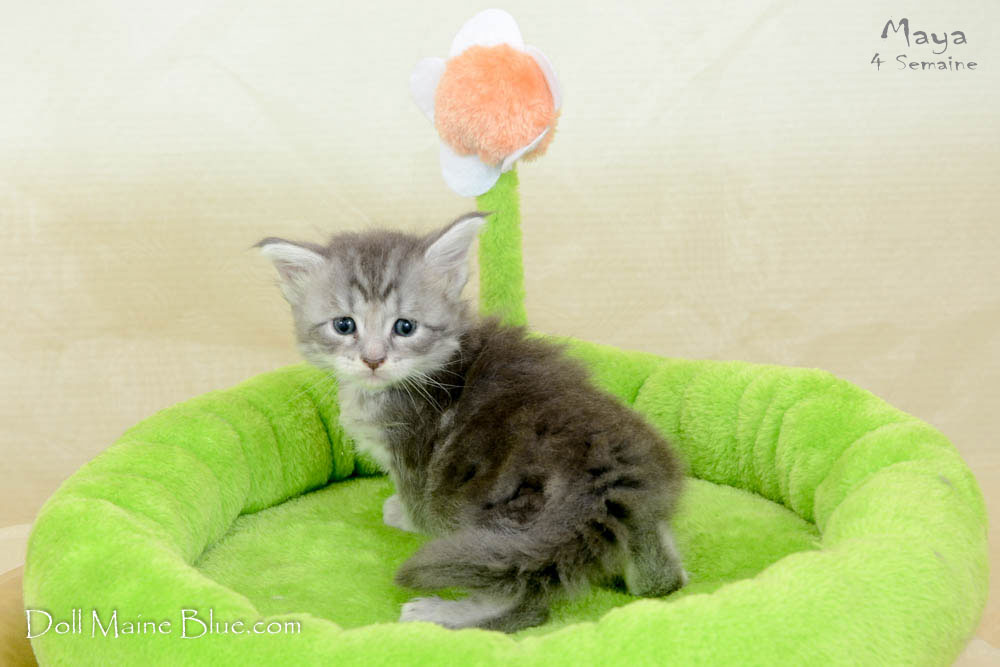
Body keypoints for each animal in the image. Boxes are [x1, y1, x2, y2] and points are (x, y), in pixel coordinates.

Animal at [257, 213, 687, 632]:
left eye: (405, 327)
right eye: (344, 325)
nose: (373, 359)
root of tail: (608, 480)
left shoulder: (413, 455)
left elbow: (416, 500)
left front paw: (403, 516)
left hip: (508, 521)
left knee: (524, 601)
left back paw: (440, 615)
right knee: (664, 581)